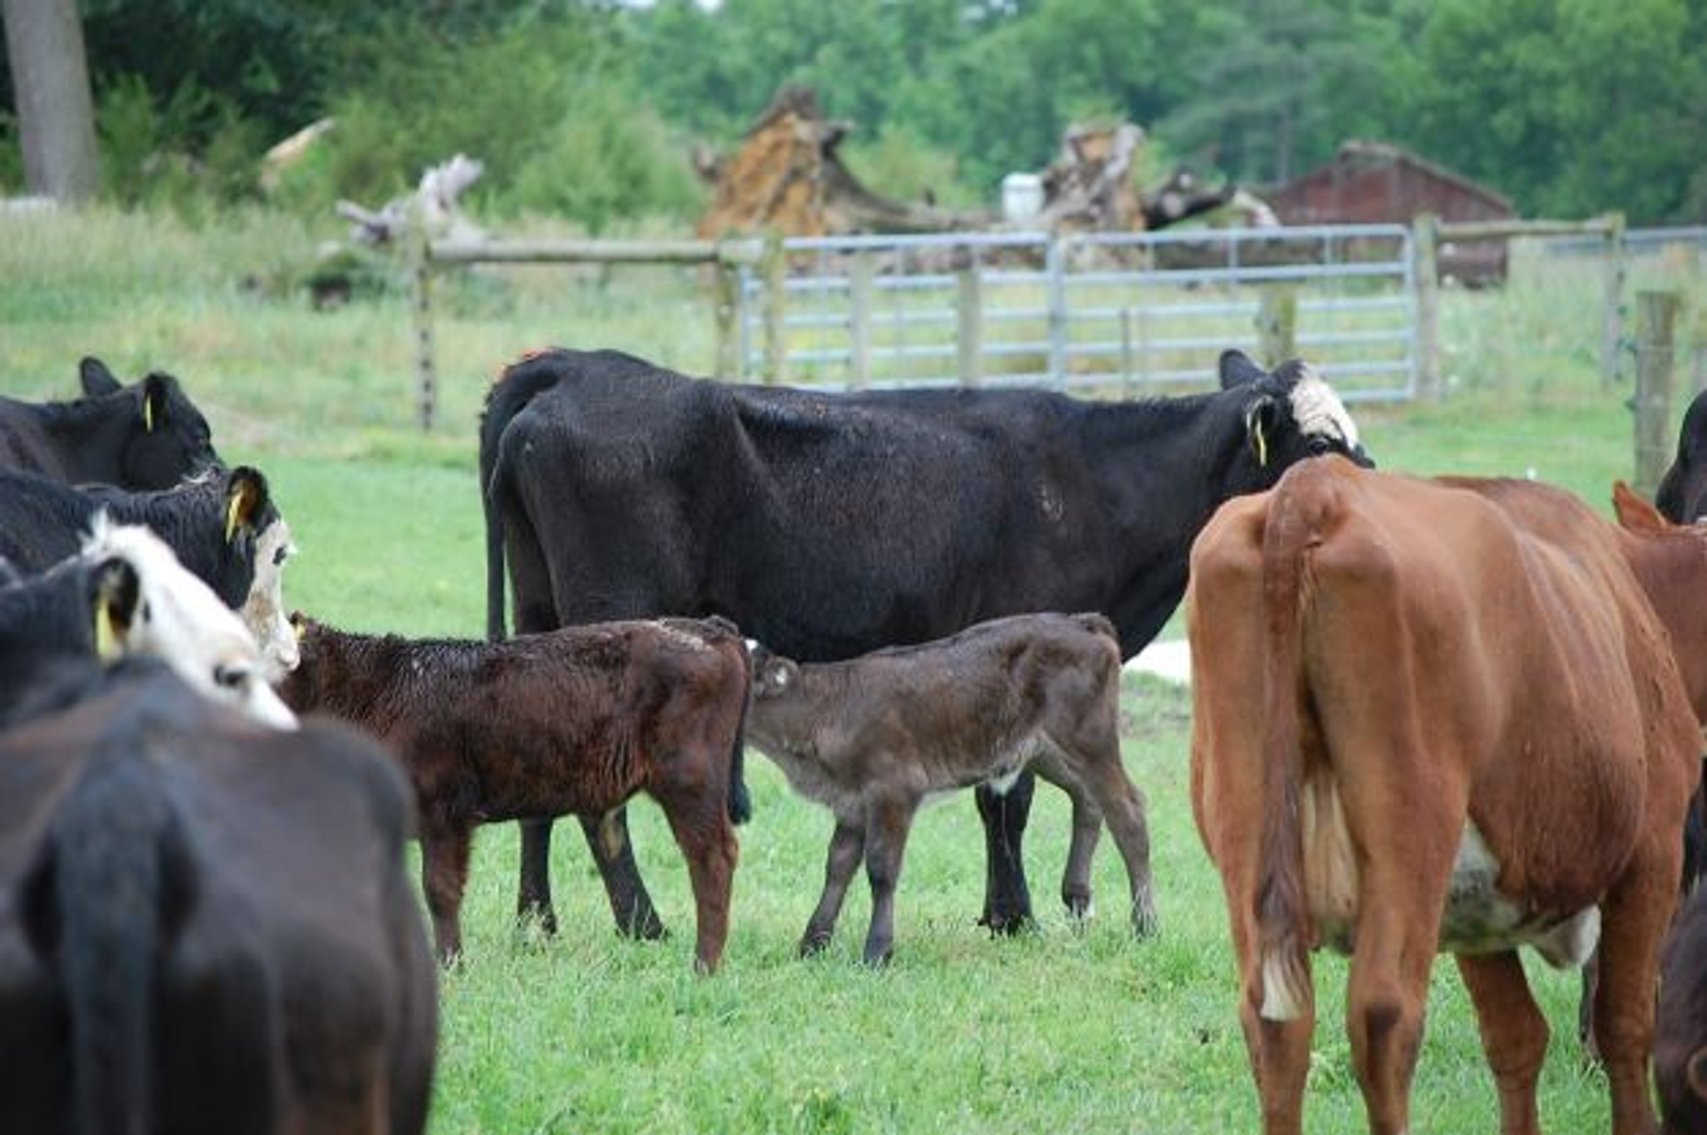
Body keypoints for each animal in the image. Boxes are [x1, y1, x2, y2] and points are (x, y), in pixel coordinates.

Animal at [277, 613, 751, 972]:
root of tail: (707, 627)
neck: (376, 692)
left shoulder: (442, 812)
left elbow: (439, 891)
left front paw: (451, 966)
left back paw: (704, 966)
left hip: (689, 780)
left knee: (712, 857)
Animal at [745, 612, 1154, 965]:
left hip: (1089, 739)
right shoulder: (850, 802)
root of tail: (1081, 622)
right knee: (1088, 800)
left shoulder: (894, 789)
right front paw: (812, 944)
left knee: (1128, 812)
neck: (826, 710)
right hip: (1044, 750)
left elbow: (881, 869)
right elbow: (838, 865)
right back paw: (1079, 900)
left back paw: (1146, 927)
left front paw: (877, 952)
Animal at [1187, 457, 1697, 1135]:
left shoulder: (1476, 900)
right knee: (1384, 1018)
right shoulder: (1654, 853)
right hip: (1410, 840)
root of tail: (1317, 485)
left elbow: (1515, 1035)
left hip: (1248, 832)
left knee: (1273, 1026)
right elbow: (1626, 1026)